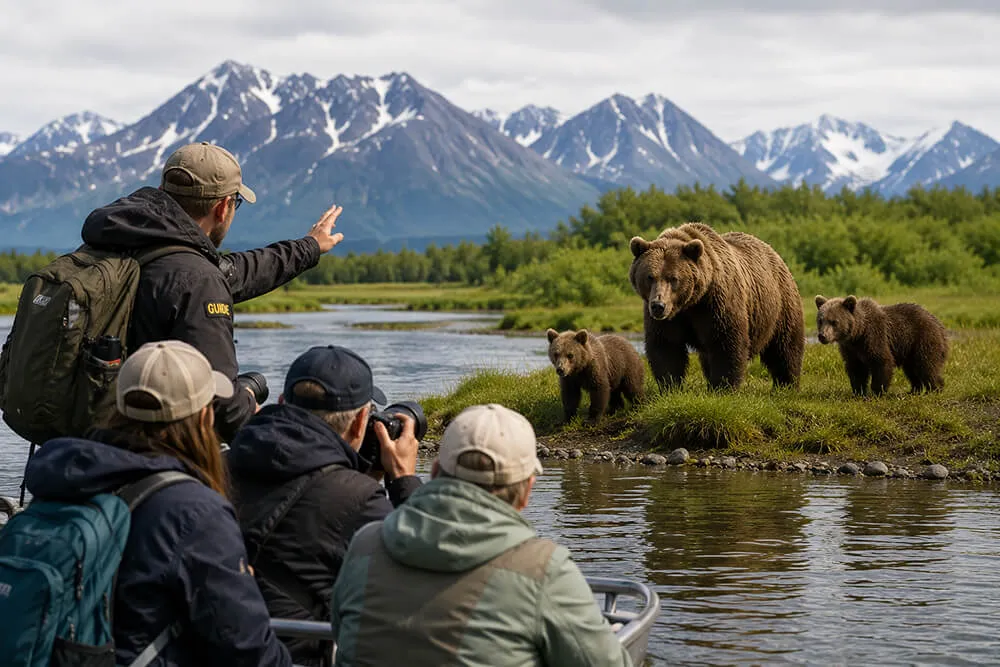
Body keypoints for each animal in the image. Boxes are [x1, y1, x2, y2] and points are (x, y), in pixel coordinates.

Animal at [629, 222, 804, 391]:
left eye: (673, 278)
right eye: (650, 277)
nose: (659, 305)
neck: (690, 302)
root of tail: (773, 252)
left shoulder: (716, 303)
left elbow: (726, 343)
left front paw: (723, 387)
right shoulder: (669, 319)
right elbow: (666, 347)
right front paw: (670, 386)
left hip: (779, 304)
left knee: (785, 346)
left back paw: (786, 384)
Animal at [814, 295, 948, 396]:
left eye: (834, 322)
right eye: (820, 320)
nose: (822, 336)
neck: (858, 333)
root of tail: (940, 325)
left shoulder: (875, 337)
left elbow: (882, 361)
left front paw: (877, 391)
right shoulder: (851, 349)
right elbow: (856, 369)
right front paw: (859, 391)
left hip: (923, 339)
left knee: (926, 366)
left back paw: (935, 389)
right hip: (909, 349)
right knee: (912, 370)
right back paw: (914, 390)